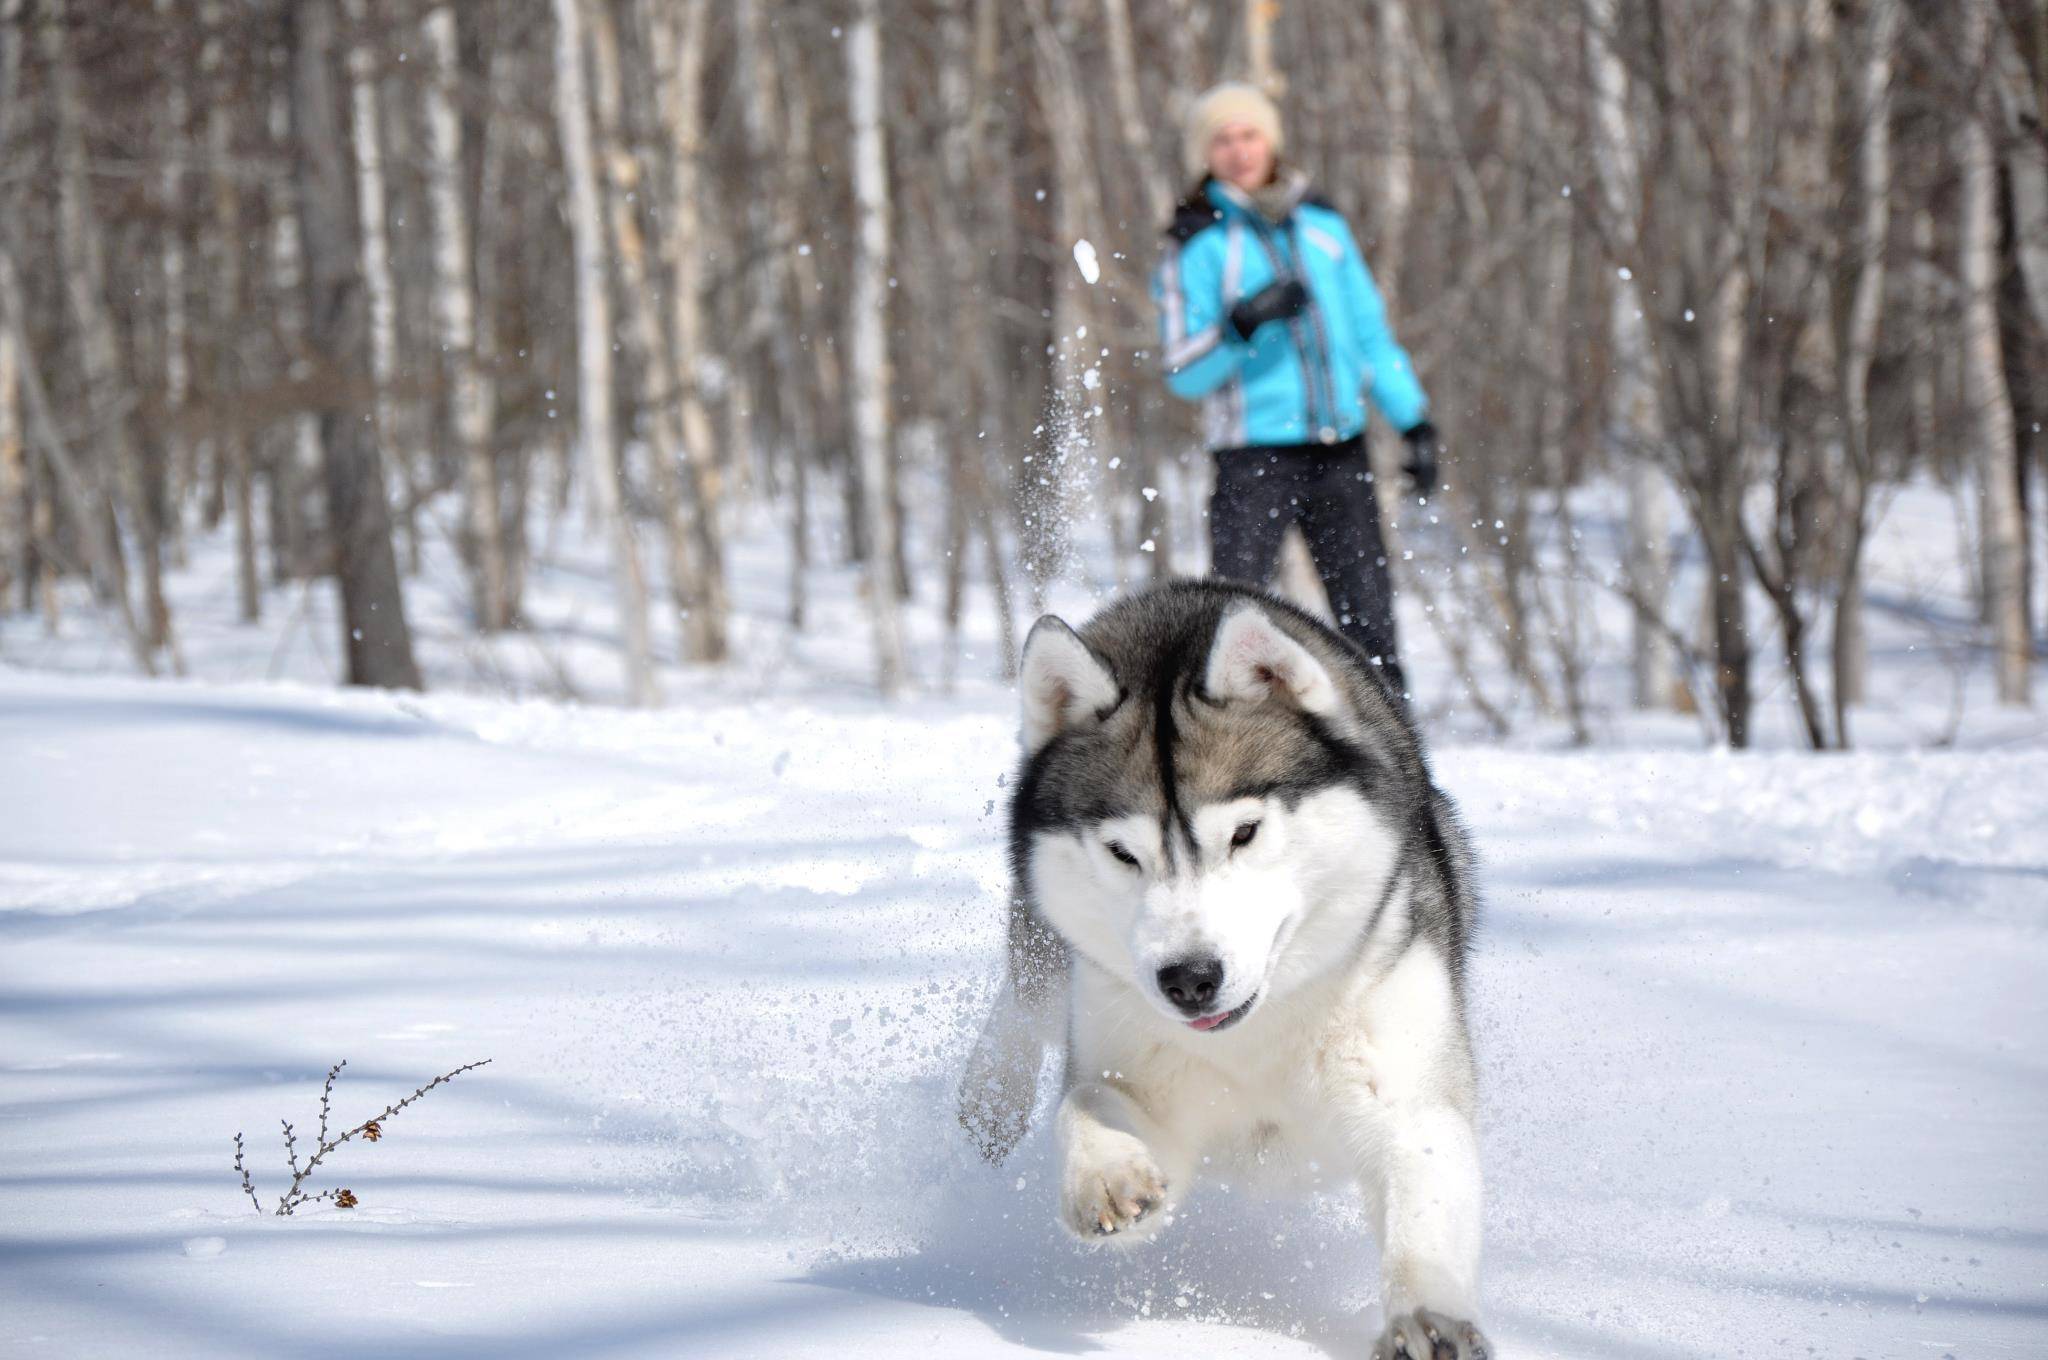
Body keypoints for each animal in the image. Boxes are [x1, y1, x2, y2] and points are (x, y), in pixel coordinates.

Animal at [958, 581, 1490, 1360]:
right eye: (1123, 853)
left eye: (1244, 833)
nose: (1189, 979)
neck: (1255, 1035)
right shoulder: (1132, 1064)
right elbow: (1085, 1100)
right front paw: (1107, 1171)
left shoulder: (1408, 1086)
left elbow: (1423, 1193)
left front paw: (1427, 1321)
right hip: (1051, 949)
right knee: (1025, 1000)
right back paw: (990, 1095)